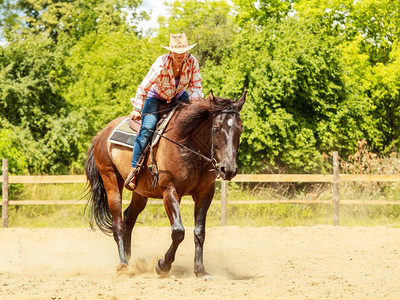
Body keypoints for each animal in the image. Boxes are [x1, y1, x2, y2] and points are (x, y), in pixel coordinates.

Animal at [85, 91, 244, 278]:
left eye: (240, 130)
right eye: (216, 129)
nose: (229, 169)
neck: (187, 143)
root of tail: (101, 134)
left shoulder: (205, 193)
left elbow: (199, 232)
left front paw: (200, 270)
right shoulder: (170, 191)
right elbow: (178, 232)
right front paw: (163, 265)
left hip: (140, 193)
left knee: (128, 219)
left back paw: (131, 261)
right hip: (111, 181)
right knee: (117, 225)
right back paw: (124, 265)